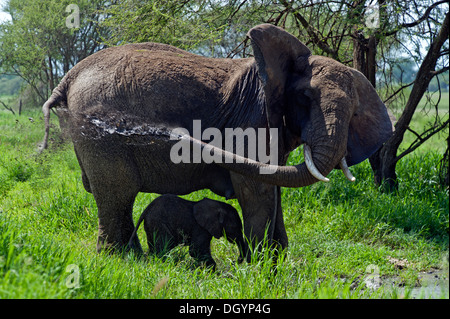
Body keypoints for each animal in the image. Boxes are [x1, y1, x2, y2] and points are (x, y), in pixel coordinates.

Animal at [43, 23, 394, 256]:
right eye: (305, 97)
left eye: (355, 113)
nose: (176, 134)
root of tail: (69, 77)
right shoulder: (253, 121)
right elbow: (257, 191)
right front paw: (261, 270)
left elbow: (275, 188)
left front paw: (276, 266)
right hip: (100, 136)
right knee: (118, 193)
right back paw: (124, 261)